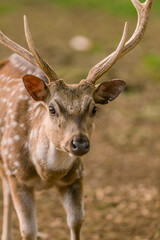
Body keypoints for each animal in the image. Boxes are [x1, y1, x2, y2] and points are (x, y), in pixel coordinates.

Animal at [0, 0, 152, 240]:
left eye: (94, 109)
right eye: (52, 108)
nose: (79, 144)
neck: (47, 175)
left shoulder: (77, 175)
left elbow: (76, 221)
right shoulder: (16, 174)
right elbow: (28, 229)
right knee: (5, 195)